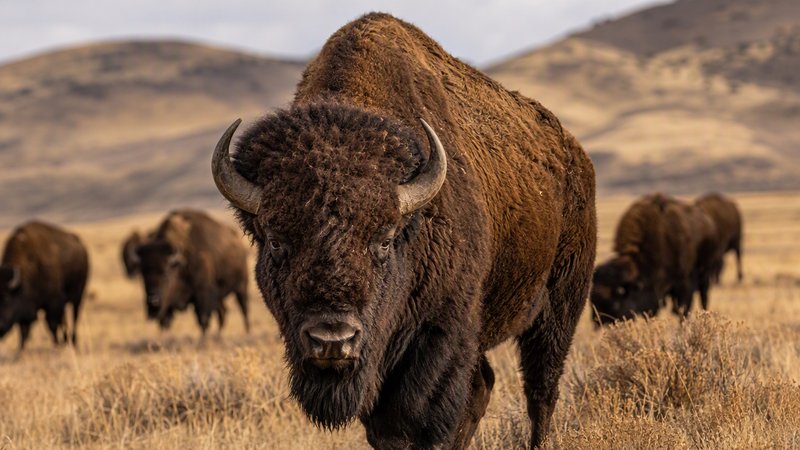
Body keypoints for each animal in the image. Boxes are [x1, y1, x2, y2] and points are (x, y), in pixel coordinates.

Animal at [0, 221, 89, 350]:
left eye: (6, 298)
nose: (0, 328)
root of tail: (81, 246)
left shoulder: (53, 303)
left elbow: (52, 326)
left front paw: (56, 345)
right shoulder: (25, 311)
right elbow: (24, 331)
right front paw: (20, 349)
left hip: (77, 296)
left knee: (75, 316)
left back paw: (72, 340)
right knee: (65, 319)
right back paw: (66, 339)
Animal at [211, 13, 596, 449]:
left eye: (384, 239)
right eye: (276, 241)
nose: (332, 340)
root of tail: (576, 157)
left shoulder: (439, 335)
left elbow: (420, 417)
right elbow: (387, 427)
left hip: (559, 306)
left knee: (540, 388)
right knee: (487, 384)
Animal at [591, 193, 718, 325]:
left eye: (615, 303)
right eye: (592, 300)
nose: (598, 322)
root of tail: (708, 222)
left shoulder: (684, 283)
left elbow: (683, 310)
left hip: (705, 275)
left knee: (703, 297)